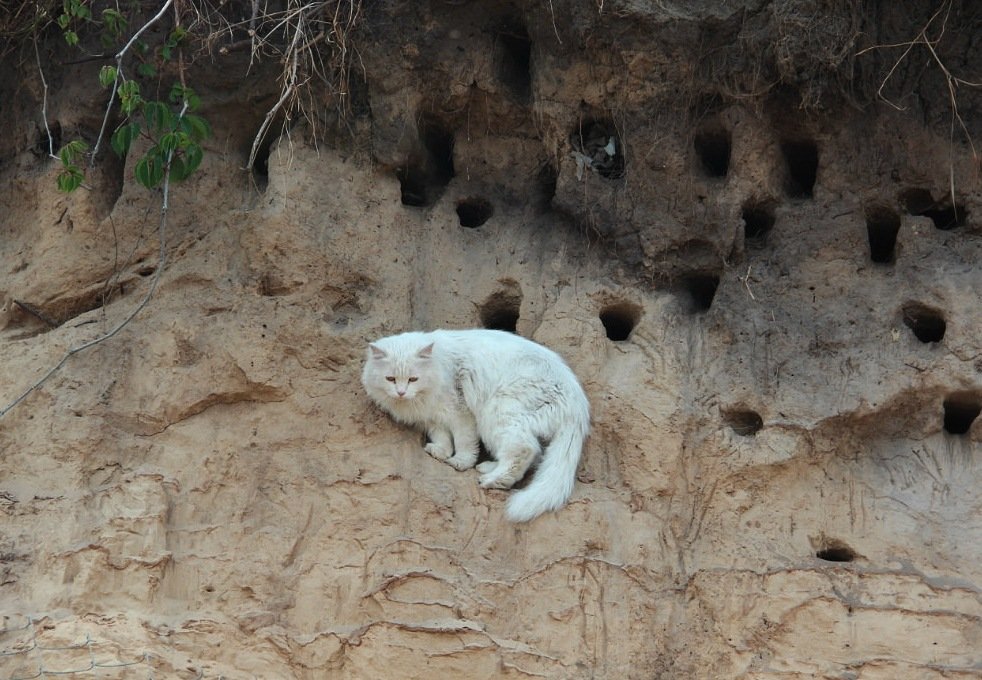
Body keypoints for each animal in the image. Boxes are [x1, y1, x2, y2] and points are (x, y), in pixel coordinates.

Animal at [364, 330, 588, 520]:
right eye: (390, 379)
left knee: (524, 450)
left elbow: (464, 442)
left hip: (497, 412)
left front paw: (460, 462)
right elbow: (442, 438)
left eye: (413, 379)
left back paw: (492, 480)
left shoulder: (460, 412)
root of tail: (577, 404)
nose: (401, 392)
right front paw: (440, 452)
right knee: (533, 455)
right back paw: (487, 468)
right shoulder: (433, 418)